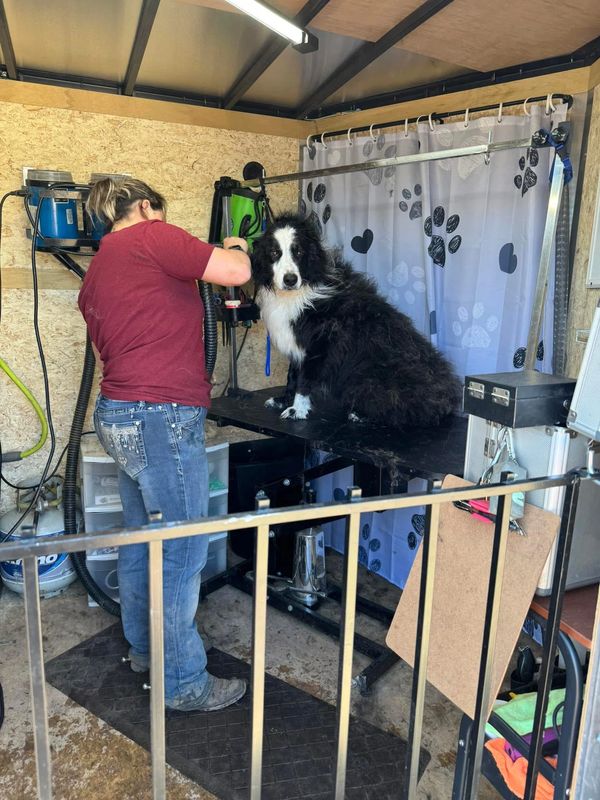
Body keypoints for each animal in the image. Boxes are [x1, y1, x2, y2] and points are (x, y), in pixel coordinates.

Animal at [251, 213, 462, 429]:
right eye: (274, 252)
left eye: (299, 252)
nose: (290, 279)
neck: (299, 292)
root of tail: (447, 399)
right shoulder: (297, 342)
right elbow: (292, 376)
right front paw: (283, 400)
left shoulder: (320, 344)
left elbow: (304, 380)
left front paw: (297, 410)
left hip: (366, 377)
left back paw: (361, 414)